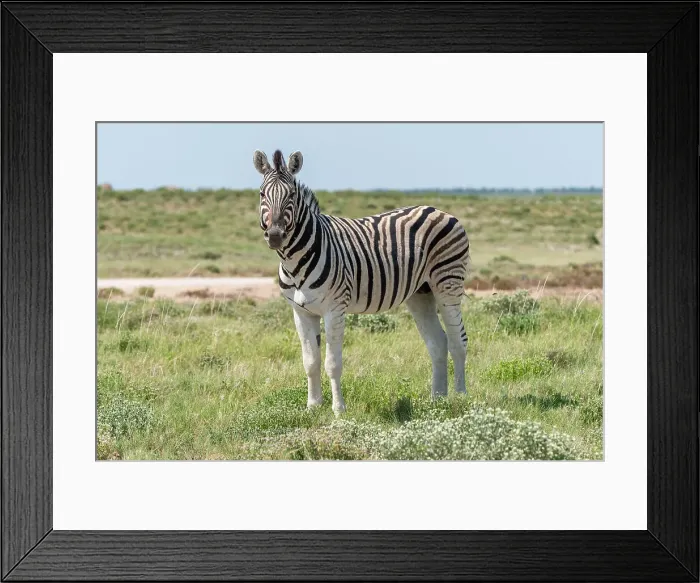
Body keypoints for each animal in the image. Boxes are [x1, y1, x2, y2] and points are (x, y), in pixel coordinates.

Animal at [254, 149, 471, 414]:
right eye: (262, 194)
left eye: (292, 195)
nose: (275, 236)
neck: (295, 261)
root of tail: (438, 210)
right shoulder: (301, 312)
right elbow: (310, 362)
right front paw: (313, 407)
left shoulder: (335, 309)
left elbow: (332, 363)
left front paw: (339, 410)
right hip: (421, 292)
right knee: (438, 342)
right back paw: (437, 400)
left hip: (448, 282)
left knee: (458, 340)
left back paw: (460, 397)